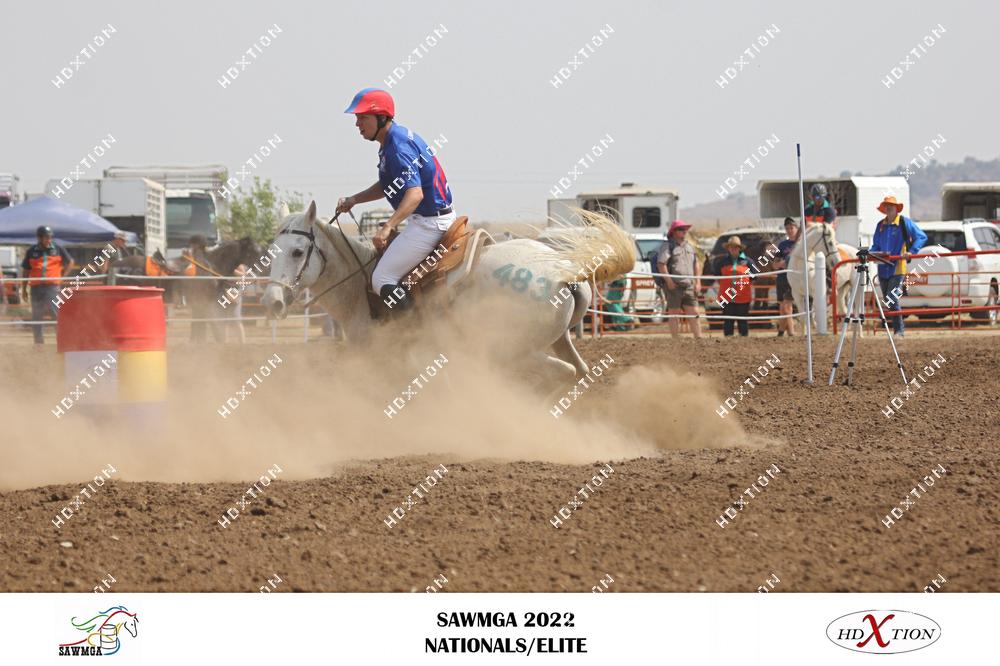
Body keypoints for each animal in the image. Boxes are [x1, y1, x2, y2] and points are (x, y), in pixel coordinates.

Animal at [261, 201, 634, 387]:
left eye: (297, 251)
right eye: (270, 250)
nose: (272, 302)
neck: (360, 286)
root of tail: (564, 273)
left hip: (511, 349)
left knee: (561, 374)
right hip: (557, 340)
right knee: (577, 372)